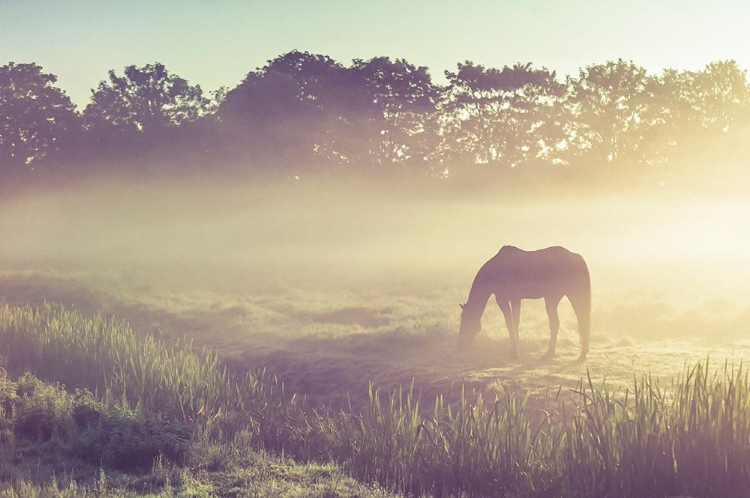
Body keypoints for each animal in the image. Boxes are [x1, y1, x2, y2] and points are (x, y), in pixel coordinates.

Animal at [458, 246, 592, 360]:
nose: (461, 344)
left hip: (558, 298)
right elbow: (515, 321)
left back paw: (551, 353)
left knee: (558, 323)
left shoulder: (502, 300)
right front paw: (517, 345)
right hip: (566, 297)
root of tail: (575, 257)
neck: (496, 272)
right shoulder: (515, 299)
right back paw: (581, 353)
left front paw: (514, 352)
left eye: (465, 320)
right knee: (579, 320)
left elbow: (509, 323)